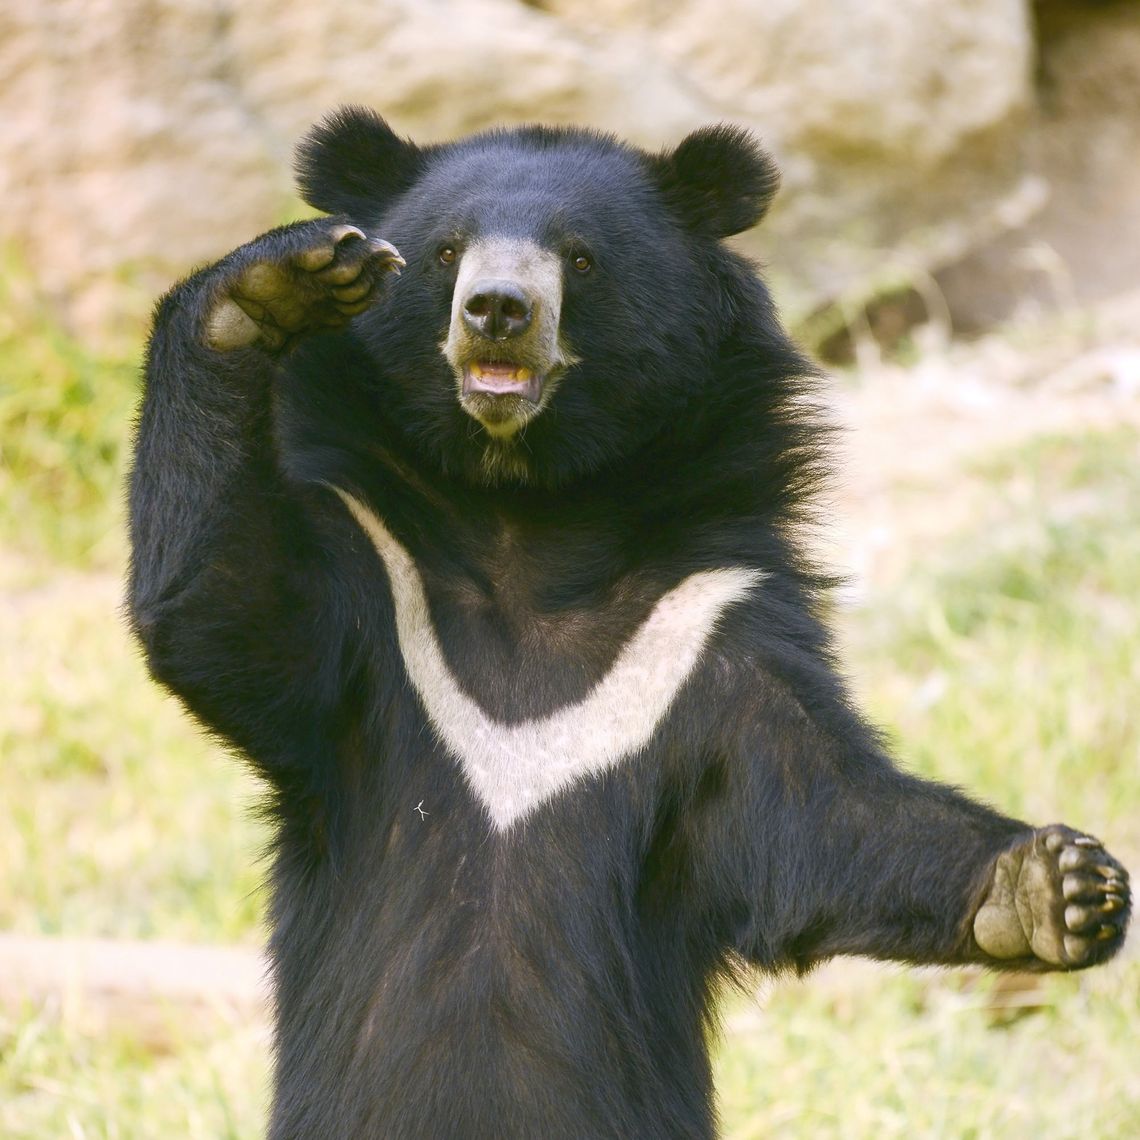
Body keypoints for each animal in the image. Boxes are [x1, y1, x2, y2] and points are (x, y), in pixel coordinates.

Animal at [127, 108, 1130, 1140]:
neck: (526, 514)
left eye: (580, 258)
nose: (498, 309)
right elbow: (230, 613)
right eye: (446, 249)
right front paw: (272, 287)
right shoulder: (375, 593)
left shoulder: (707, 626)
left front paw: (1057, 888)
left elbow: (815, 804)